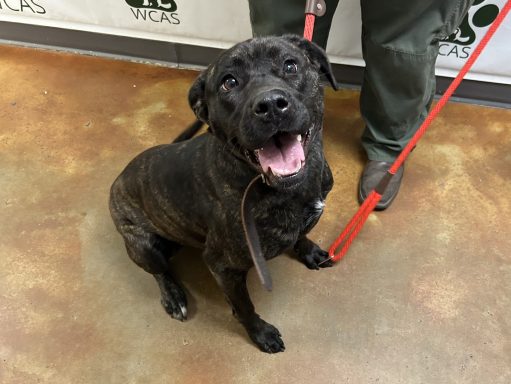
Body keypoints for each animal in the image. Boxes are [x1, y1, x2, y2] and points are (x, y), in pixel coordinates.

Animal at [110, 34, 338, 352]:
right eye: (229, 82)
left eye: (290, 65)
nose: (270, 104)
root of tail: (118, 180)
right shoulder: (223, 267)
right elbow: (243, 307)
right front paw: (260, 333)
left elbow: (301, 235)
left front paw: (309, 251)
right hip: (144, 246)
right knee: (159, 271)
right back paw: (173, 296)